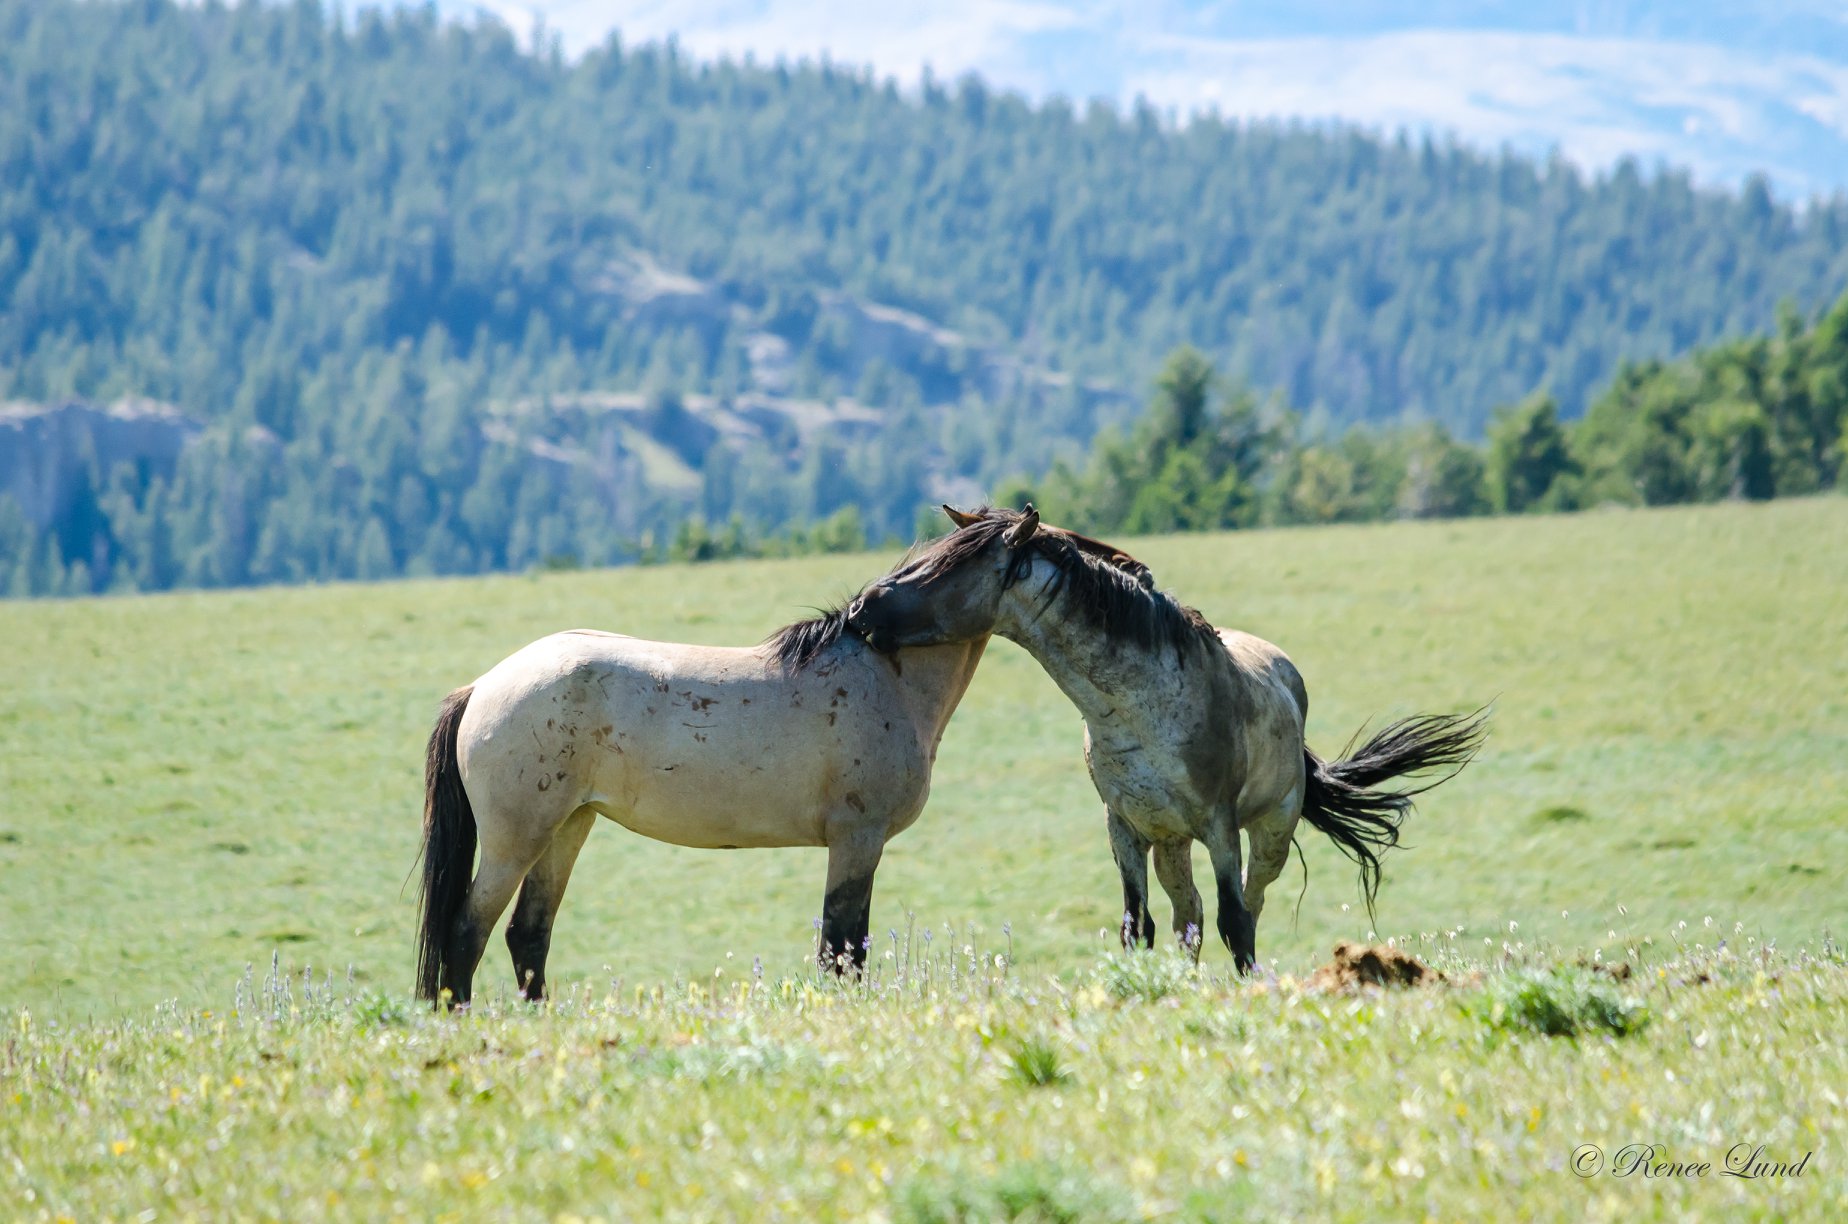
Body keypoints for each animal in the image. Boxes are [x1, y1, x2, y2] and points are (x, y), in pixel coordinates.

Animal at [413, 613, 990, 1005]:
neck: (887, 674)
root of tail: (480, 687)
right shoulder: (858, 840)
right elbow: (843, 946)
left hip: (568, 828)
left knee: (527, 934)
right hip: (515, 845)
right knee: (466, 931)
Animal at [850, 502, 1485, 976]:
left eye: (946, 570)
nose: (860, 607)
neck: (1140, 709)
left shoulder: (1220, 827)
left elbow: (1235, 922)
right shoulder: (1125, 828)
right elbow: (1141, 926)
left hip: (1269, 833)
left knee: (1248, 904)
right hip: (1170, 844)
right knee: (1189, 915)